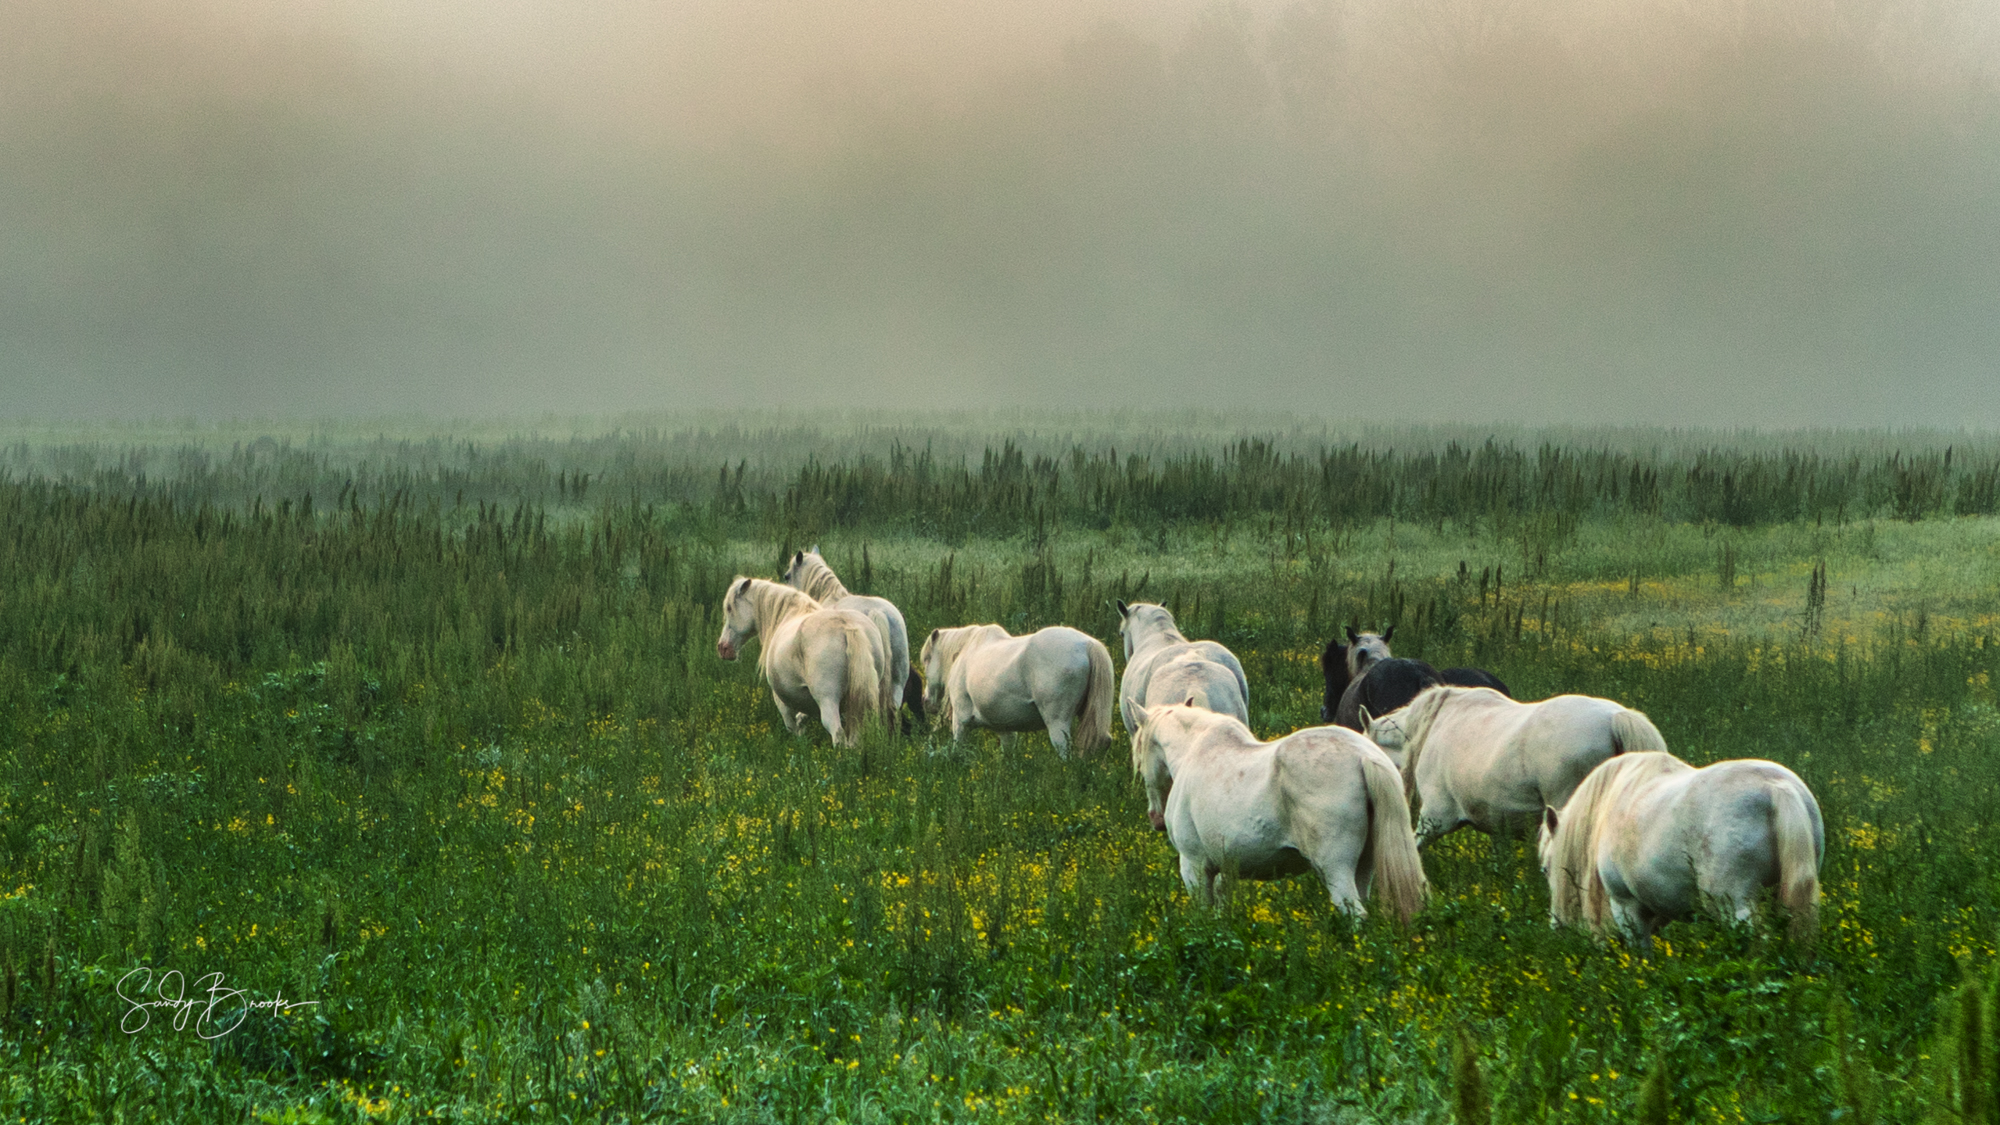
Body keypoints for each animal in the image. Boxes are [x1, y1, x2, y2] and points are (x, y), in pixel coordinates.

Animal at [715, 577, 892, 748]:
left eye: (729, 608)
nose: (723, 648)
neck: (788, 614)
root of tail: (847, 625)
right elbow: (802, 720)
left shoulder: (784, 704)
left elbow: (794, 729)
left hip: (828, 702)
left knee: (837, 733)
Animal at [919, 624, 1115, 756]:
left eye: (927, 659)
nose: (926, 702)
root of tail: (1087, 644)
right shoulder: (1005, 729)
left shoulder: (961, 722)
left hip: (1057, 722)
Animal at [1128, 700, 1427, 921]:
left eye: (1139, 759)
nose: (1156, 819)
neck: (1194, 752)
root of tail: (1363, 755)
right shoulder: (1224, 870)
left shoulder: (1195, 865)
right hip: (1364, 866)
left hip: (1335, 869)